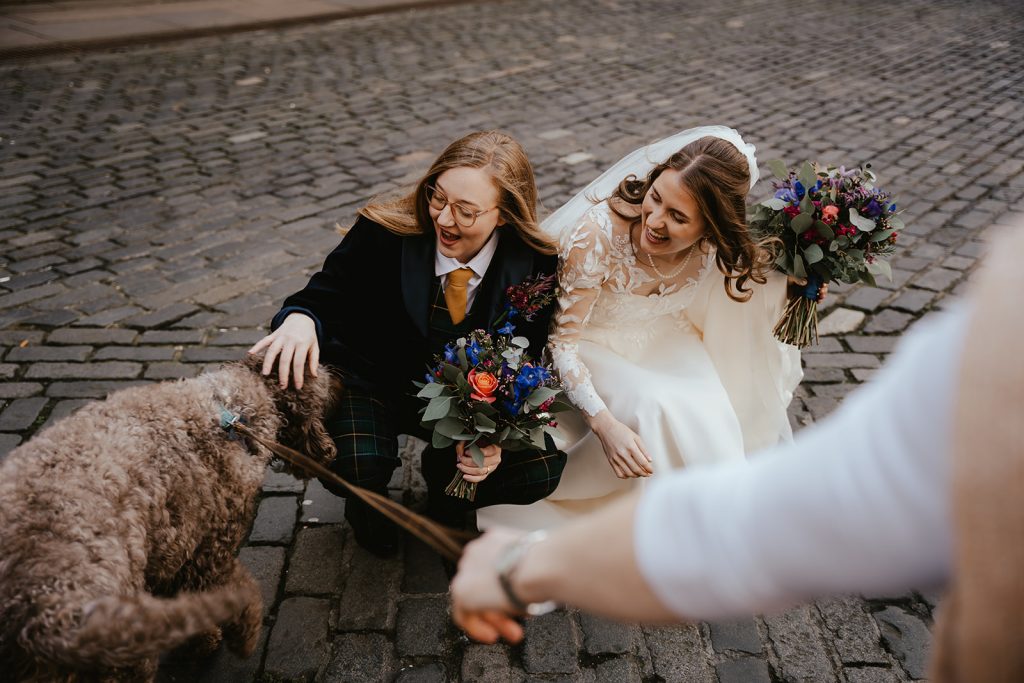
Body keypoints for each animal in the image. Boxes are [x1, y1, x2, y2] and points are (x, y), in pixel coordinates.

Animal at [0, 356, 339, 679]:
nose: (342, 382)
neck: (229, 411)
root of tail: (42, 614)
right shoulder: (206, 550)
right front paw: (217, 638)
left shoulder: (166, 554)